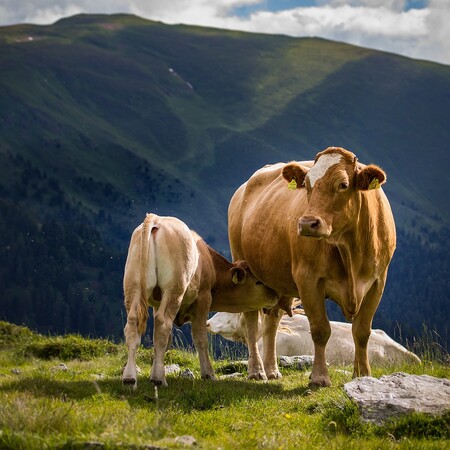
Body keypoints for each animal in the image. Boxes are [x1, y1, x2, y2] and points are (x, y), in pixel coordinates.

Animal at [123, 214, 278, 386]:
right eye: (258, 282)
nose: (276, 295)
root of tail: (156, 219)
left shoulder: (157, 303)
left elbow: (165, 341)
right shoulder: (204, 298)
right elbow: (200, 337)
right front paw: (208, 373)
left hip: (133, 286)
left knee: (133, 324)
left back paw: (129, 378)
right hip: (174, 289)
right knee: (163, 323)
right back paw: (158, 379)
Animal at [230, 148, 396, 386]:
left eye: (343, 184)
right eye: (307, 185)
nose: (307, 223)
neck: (350, 250)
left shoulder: (378, 281)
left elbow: (362, 330)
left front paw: (363, 374)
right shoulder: (308, 279)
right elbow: (320, 329)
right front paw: (319, 377)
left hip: (276, 282)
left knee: (272, 322)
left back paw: (272, 369)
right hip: (244, 268)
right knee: (252, 323)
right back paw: (257, 371)